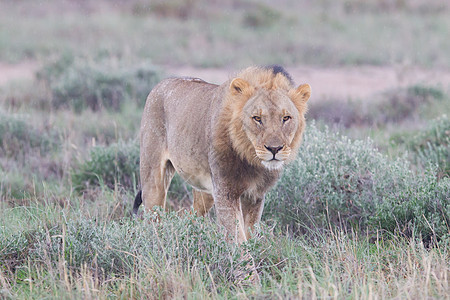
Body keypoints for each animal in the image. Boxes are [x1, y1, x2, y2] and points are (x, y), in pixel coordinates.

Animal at [132, 65, 312, 244]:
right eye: (257, 118)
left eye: (286, 118)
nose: (274, 149)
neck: (250, 158)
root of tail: (160, 84)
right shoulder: (226, 191)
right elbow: (236, 235)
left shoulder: (256, 196)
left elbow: (250, 232)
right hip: (153, 179)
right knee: (153, 218)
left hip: (205, 191)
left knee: (190, 215)